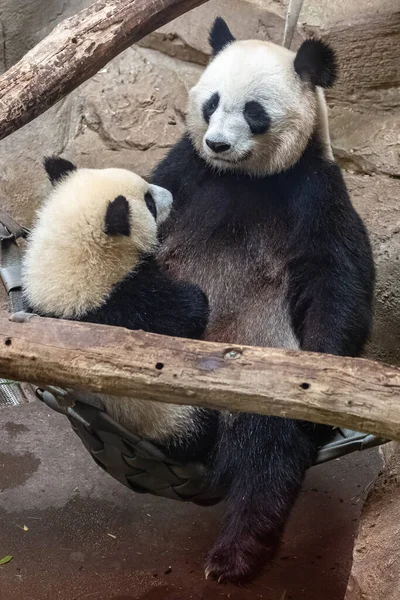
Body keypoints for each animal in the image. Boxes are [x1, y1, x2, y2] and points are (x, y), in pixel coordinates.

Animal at [23, 157, 217, 462]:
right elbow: (183, 314)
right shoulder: (123, 307)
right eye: (149, 203)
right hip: (166, 415)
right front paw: (195, 299)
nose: (170, 195)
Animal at [152, 19, 376, 584]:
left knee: (269, 452)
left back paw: (236, 554)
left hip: (265, 366)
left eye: (254, 111)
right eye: (212, 102)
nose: (217, 143)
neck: (242, 177)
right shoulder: (184, 169)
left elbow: (335, 277)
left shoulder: (312, 189)